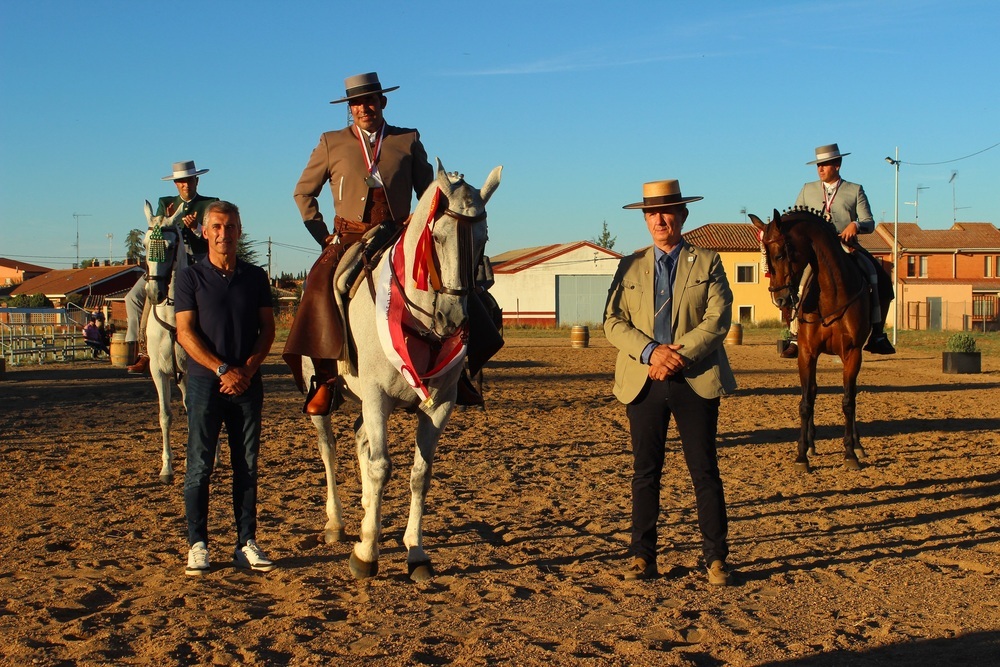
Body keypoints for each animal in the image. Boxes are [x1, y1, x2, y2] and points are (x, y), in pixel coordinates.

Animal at [306, 160, 500, 580]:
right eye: (437, 237)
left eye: (483, 238)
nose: (451, 319)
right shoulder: (377, 397)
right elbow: (381, 467)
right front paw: (366, 555)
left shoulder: (439, 405)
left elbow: (419, 474)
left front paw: (415, 551)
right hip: (323, 398)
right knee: (329, 450)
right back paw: (336, 523)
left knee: (361, 440)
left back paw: (366, 514)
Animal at [752, 206, 868, 472]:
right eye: (766, 257)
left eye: (780, 254)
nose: (780, 299)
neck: (831, 295)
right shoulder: (807, 353)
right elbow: (806, 401)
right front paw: (801, 455)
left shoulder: (853, 353)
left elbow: (848, 401)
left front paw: (850, 452)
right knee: (813, 392)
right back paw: (810, 443)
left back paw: (856, 444)